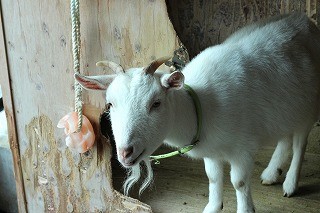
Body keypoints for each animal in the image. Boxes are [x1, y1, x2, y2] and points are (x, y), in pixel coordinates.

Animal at [75, 13, 320, 213]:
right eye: (110, 105)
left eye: (156, 103)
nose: (125, 152)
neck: (202, 106)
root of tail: (305, 21)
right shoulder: (211, 151)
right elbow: (213, 177)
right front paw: (213, 206)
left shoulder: (243, 147)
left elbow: (239, 182)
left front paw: (245, 208)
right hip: (286, 109)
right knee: (285, 136)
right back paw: (271, 173)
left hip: (308, 108)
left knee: (300, 144)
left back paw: (290, 183)